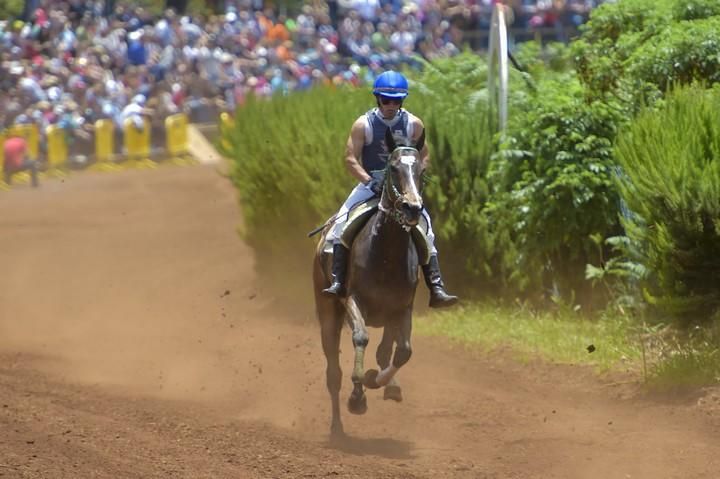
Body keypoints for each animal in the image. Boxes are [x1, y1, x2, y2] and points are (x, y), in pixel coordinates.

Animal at [312, 125, 424, 436]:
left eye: (420, 170)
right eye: (394, 168)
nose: (412, 208)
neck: (385, 253)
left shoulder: (401, 307)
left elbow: (402, 352)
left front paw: (379, 381)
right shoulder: (353, 299)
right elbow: (361, 338)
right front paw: (357, 396)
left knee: (386, 351)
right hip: (326, 308)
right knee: (333, 372)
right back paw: (337, 427)